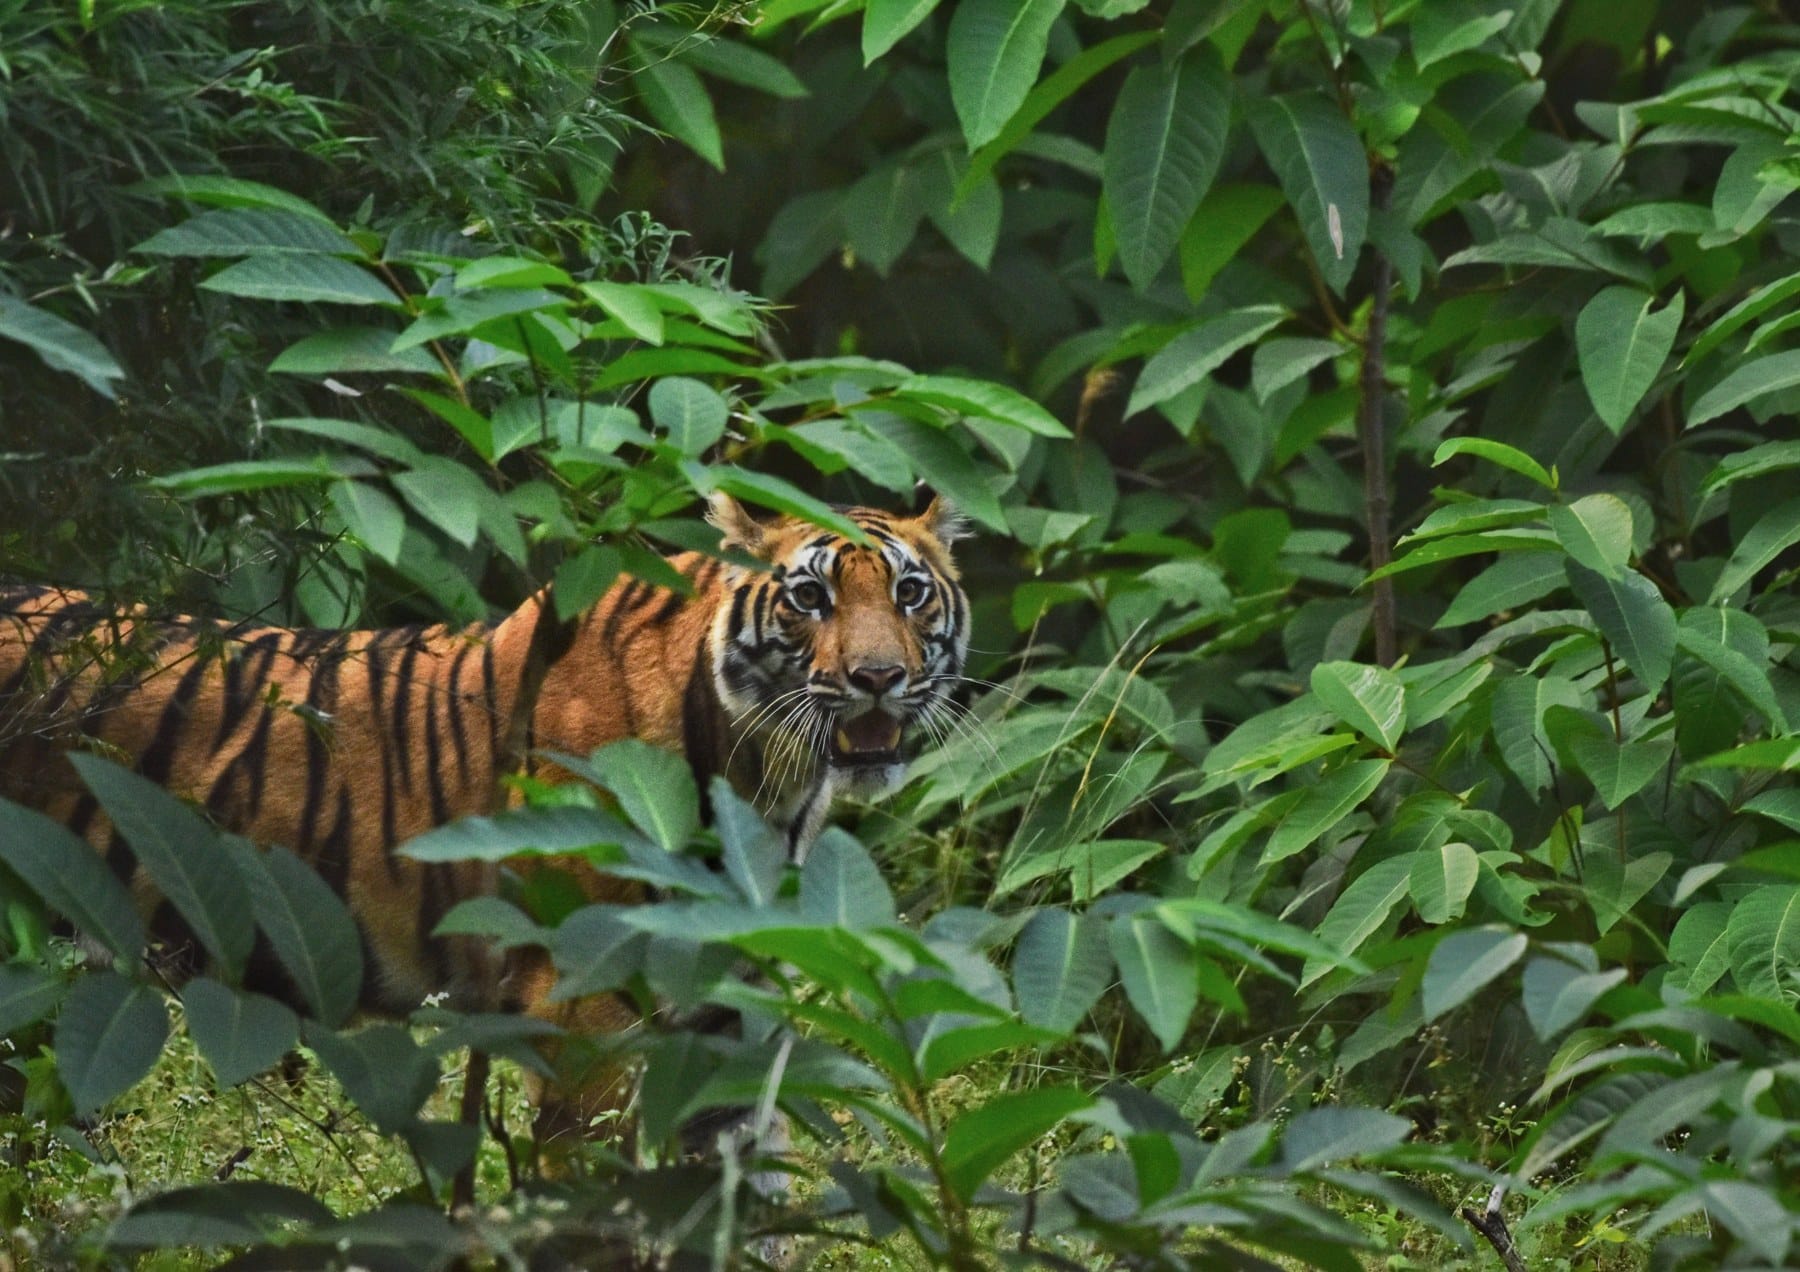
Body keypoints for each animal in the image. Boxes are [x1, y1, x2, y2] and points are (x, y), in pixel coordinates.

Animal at [0, 492, 969, 1125]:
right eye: (811, 598)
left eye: (909, 592)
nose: (877, 678)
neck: (768, 783)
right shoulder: (584, 1015)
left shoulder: (729, 1020)